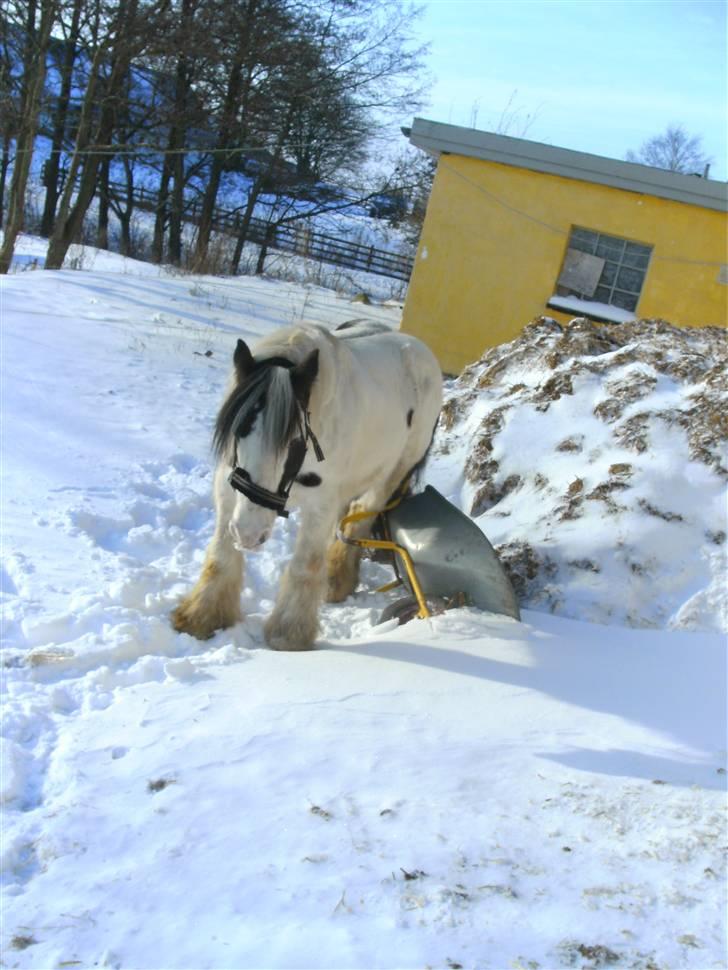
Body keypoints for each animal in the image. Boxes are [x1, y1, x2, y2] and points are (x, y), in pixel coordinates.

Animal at [173, 320, 440, 652]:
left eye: (295, 441)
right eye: (238, 430)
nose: (248, 535)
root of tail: (420, 348)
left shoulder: (320, 505)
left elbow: (305, 565)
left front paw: (288, 635)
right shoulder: (228, 488)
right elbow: (221, 555)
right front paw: (202, 616)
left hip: (393, 472)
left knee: (361, 516)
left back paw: (337, 580)